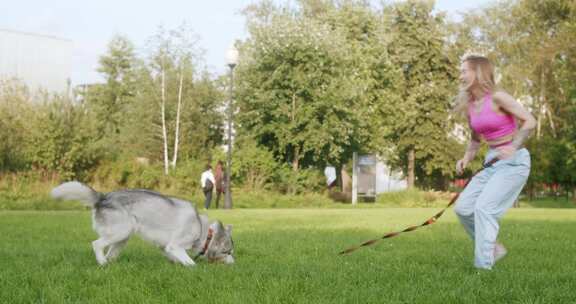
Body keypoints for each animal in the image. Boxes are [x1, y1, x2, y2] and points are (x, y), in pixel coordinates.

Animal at [51, 182, 234, 268]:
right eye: (228, 252)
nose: (235, 265)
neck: (203, 230)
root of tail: (103, 197)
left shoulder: (166, 247)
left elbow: (175, 257)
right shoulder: (174, 245)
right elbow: (191, 263)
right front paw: (193, 267)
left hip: (123, 237)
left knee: (110, 254)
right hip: (121, 232)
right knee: (96, 244)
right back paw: (102, 263)